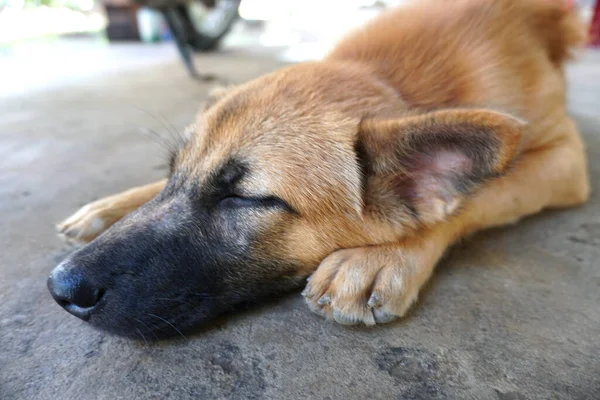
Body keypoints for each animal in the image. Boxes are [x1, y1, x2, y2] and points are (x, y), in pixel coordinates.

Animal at [48, 0, 592, 338]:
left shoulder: (565, 159)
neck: (393, 81)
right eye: (172, 172)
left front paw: (385, 256)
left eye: (246, 198)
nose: (59, 288)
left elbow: (475, 196)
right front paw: (113, 204)